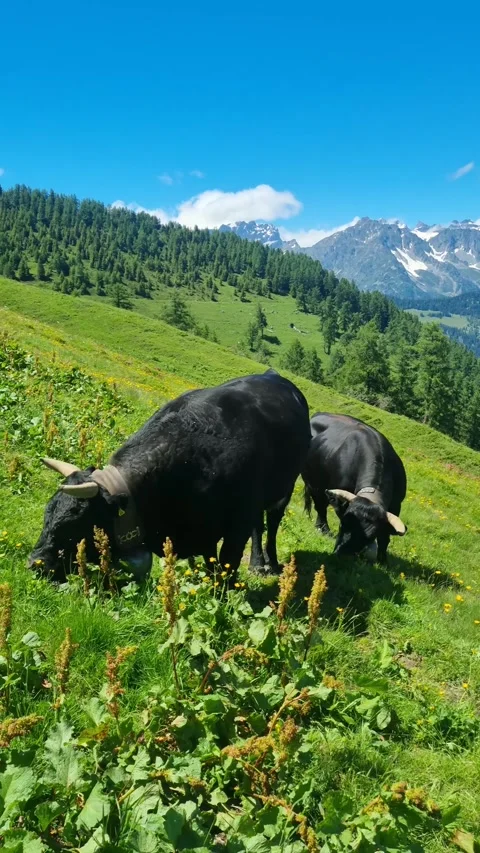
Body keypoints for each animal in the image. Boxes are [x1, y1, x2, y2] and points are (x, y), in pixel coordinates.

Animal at [29, 369, 311, 582]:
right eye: (47, 513)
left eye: (75, 524)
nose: (35, 563)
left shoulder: (237, 525)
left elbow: (226, 568)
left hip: (285, 488)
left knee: (271, 524)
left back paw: (266, 563)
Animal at [302, 413, 407, 563]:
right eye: (342, 525)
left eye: (369, 536)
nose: (342, 555)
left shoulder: (396, 506)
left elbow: (384, 537)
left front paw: (382, 560)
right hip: (313, 483)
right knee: (320, 507)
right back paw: (323, 529)